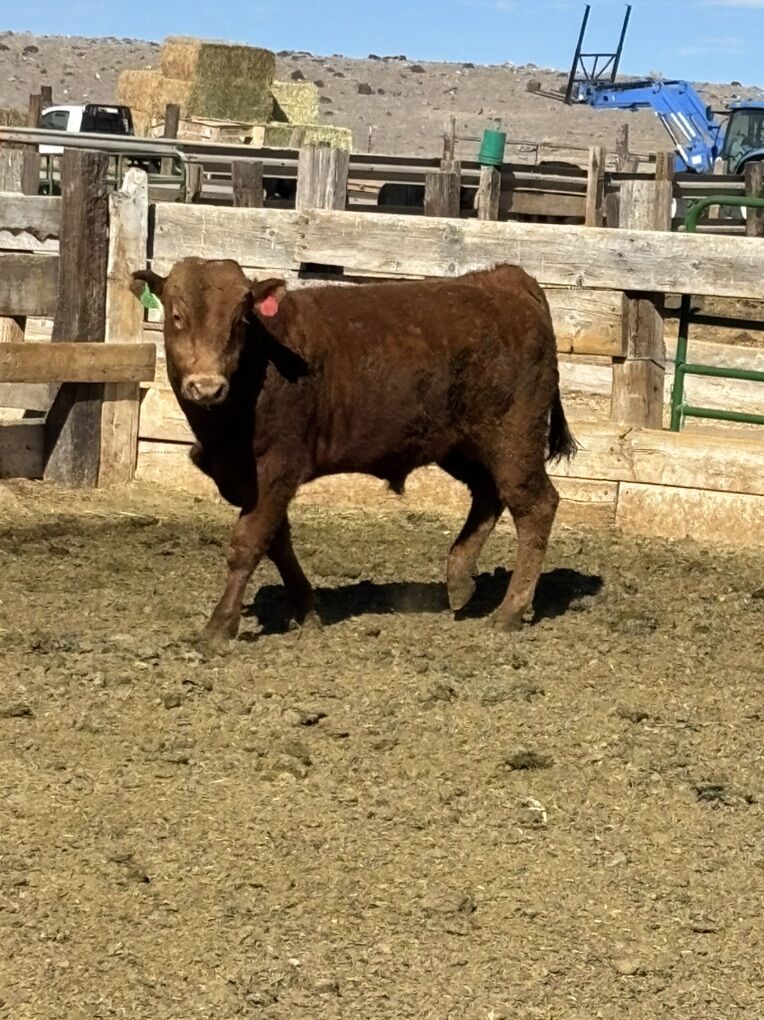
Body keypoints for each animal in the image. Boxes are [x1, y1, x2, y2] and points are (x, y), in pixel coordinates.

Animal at [131, 259, 576, 644]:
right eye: (176, 315)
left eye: (239, 319)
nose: (207, 387)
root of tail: (505, 280)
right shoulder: (246, 478)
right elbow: (278, 539)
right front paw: (306, 610)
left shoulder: (276, 468)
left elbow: (248, 542)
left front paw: (220, 625)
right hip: (460, 446)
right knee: (487, 495)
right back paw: (460, 579)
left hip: (513, 439)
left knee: (535, 506)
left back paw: (509, 611)